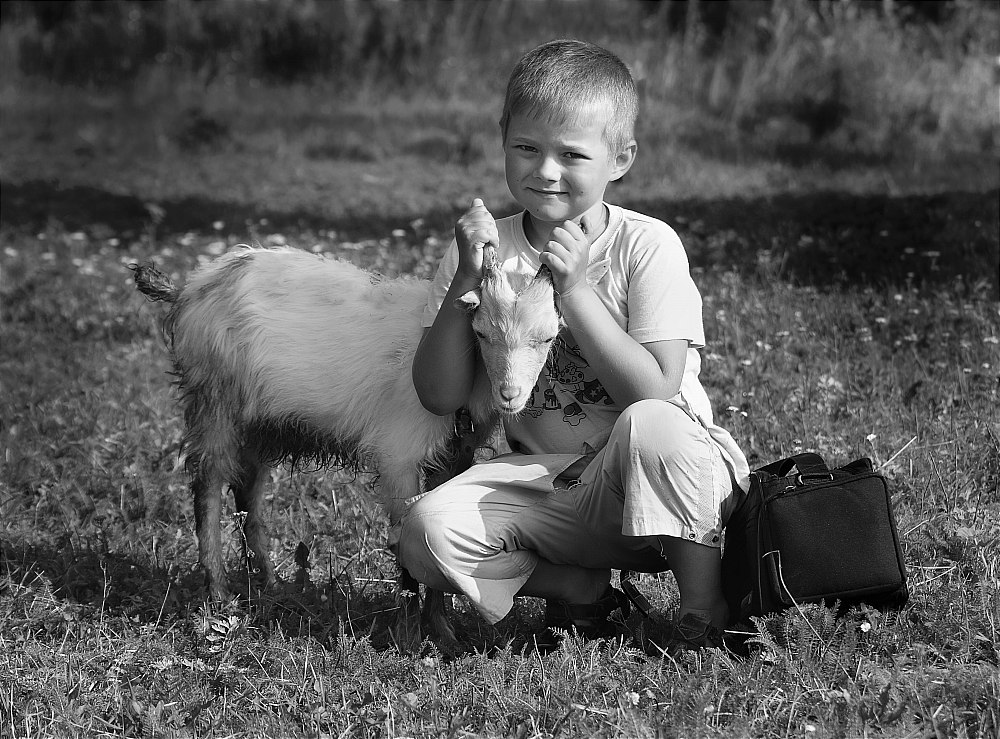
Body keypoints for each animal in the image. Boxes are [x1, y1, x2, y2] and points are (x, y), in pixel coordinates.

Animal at [129, 246, 560, 652]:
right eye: (482, 333)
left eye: (548, 337)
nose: (510, 395)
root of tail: (189, 289)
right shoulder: (400, 454)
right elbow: (405, 542)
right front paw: (409, 636)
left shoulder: (454, 456)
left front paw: (442, 630)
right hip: (215, 399)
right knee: (209, 484)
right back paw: (219, 592)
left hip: (262, 423)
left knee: (247, 489)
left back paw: (270, 584)